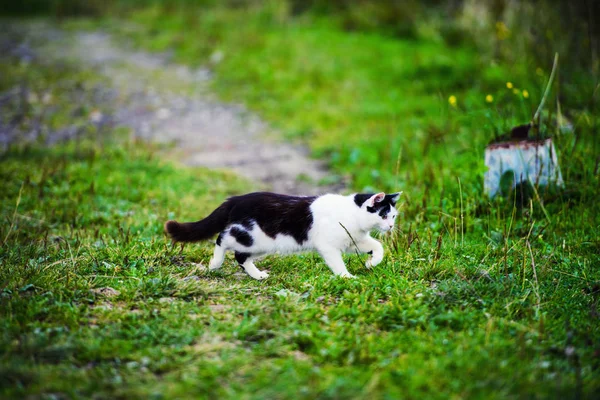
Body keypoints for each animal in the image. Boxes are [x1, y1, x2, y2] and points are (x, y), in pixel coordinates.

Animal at [164, 192, 400, 280]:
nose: (390, 226)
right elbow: (337, 263)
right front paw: (346, 277)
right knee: (222, 238)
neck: (351, 214)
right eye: (383, 214)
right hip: (250, 235)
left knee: (240, 257)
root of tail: (236, 199)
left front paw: (371, 262)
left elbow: (377, 246)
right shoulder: (329, 246)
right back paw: (215, 263)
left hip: (261, 245)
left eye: (394, 216)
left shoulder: (352, 240)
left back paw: (257, 275)